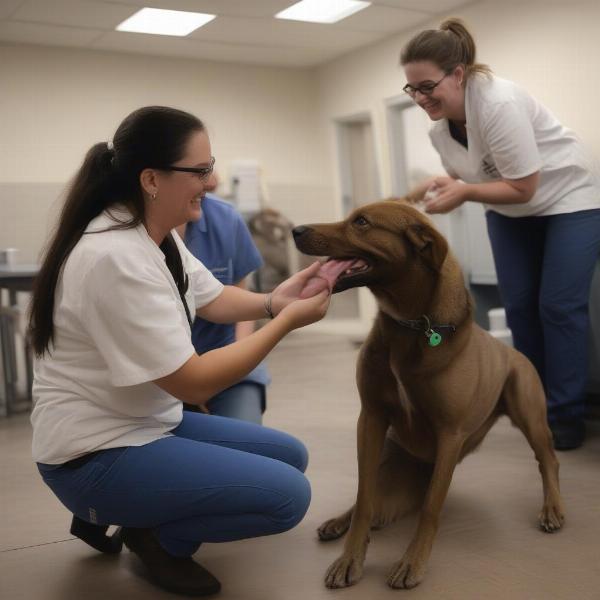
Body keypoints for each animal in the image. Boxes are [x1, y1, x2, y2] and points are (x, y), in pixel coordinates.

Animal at [292, 199, 564, 588]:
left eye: (362, 222)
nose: (295, 230)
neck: (411, 325)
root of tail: (512, 350)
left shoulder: (449, 435)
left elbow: (431, 509)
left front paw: (412, 563)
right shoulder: (371, 419)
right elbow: (363, 497)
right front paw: (350, 559)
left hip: (529, 414)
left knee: (548, 460)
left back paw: (552, 508)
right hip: (392, 461)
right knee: (373, 499)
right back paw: (338, 522)